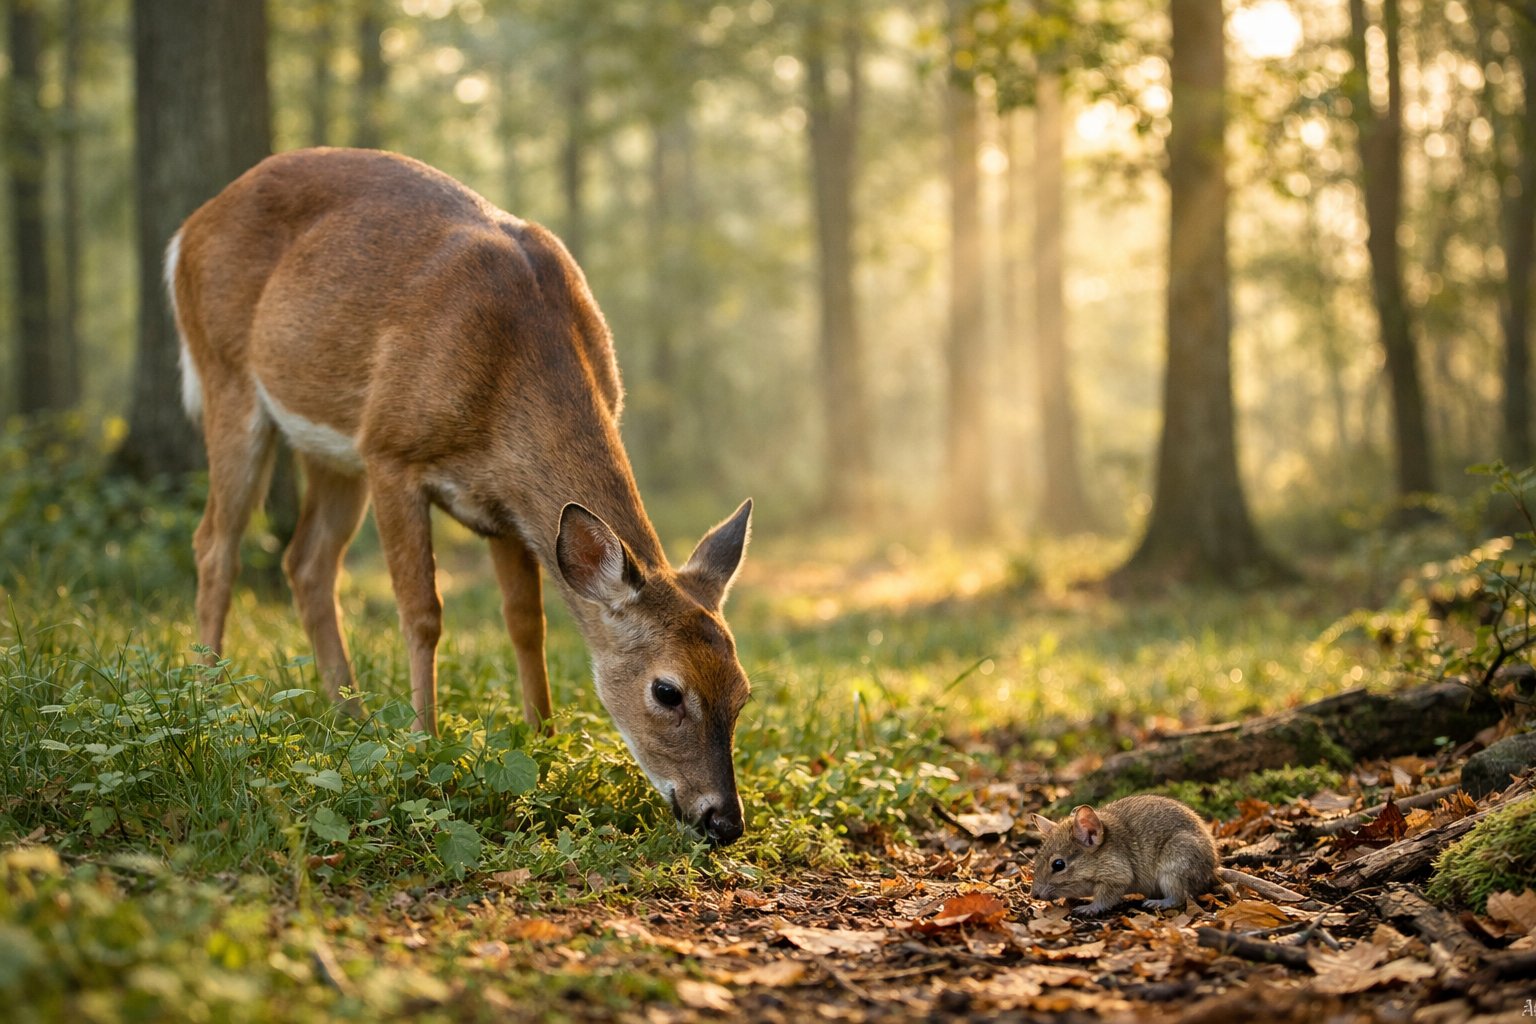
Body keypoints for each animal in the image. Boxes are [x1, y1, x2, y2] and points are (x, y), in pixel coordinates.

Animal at [169, 148, 753, 845]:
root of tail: (187, 232)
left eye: (743, 693)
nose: (723, 819)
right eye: (668, 690)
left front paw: (543, 741)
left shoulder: (509, 509)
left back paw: (349, 719)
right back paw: (211, 701)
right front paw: (424, 745)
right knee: (215, 543)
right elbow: (422, 611)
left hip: (329, 447)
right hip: (229, 377)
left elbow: (526, 622)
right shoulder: (391, 450)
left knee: (306, 561)